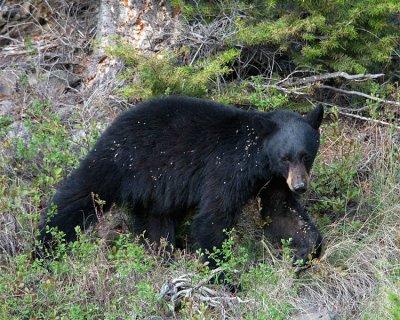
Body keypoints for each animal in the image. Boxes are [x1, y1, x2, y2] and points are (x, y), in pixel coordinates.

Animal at [39, 96, 324, 264]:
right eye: (285, 157)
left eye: (305, 155)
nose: (300, 186)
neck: (259, 159)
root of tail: (112, 125)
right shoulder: (227, 168)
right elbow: (214, 215)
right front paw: (223, 274)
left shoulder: (273, 180)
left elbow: (281, 212)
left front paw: (305, 253)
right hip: (119, 162)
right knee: (77, 196)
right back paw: (44, 248)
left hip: (155, 189)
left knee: (155, 223)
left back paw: (160, 255)